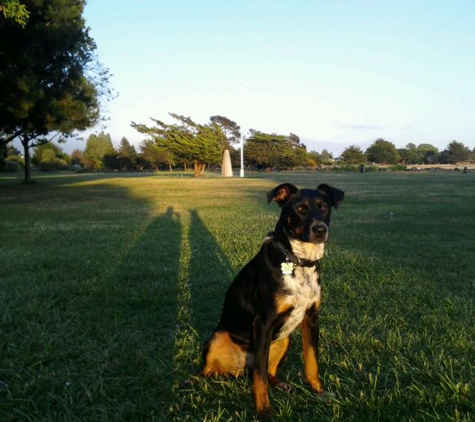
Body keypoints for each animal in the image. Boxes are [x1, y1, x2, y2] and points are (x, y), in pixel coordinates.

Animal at [201, 182, 346, 418]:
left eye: (324, 207)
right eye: (300, 209)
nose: (320, 230)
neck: (298, 261)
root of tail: (243, 366)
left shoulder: (311, 318)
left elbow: (312, 362)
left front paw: (319, 393)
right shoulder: (263, 322)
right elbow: (259, 377)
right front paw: (264, 411)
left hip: (283, 339)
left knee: (267, 372)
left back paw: (282, 385)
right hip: (218, 337)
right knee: (213, 371)